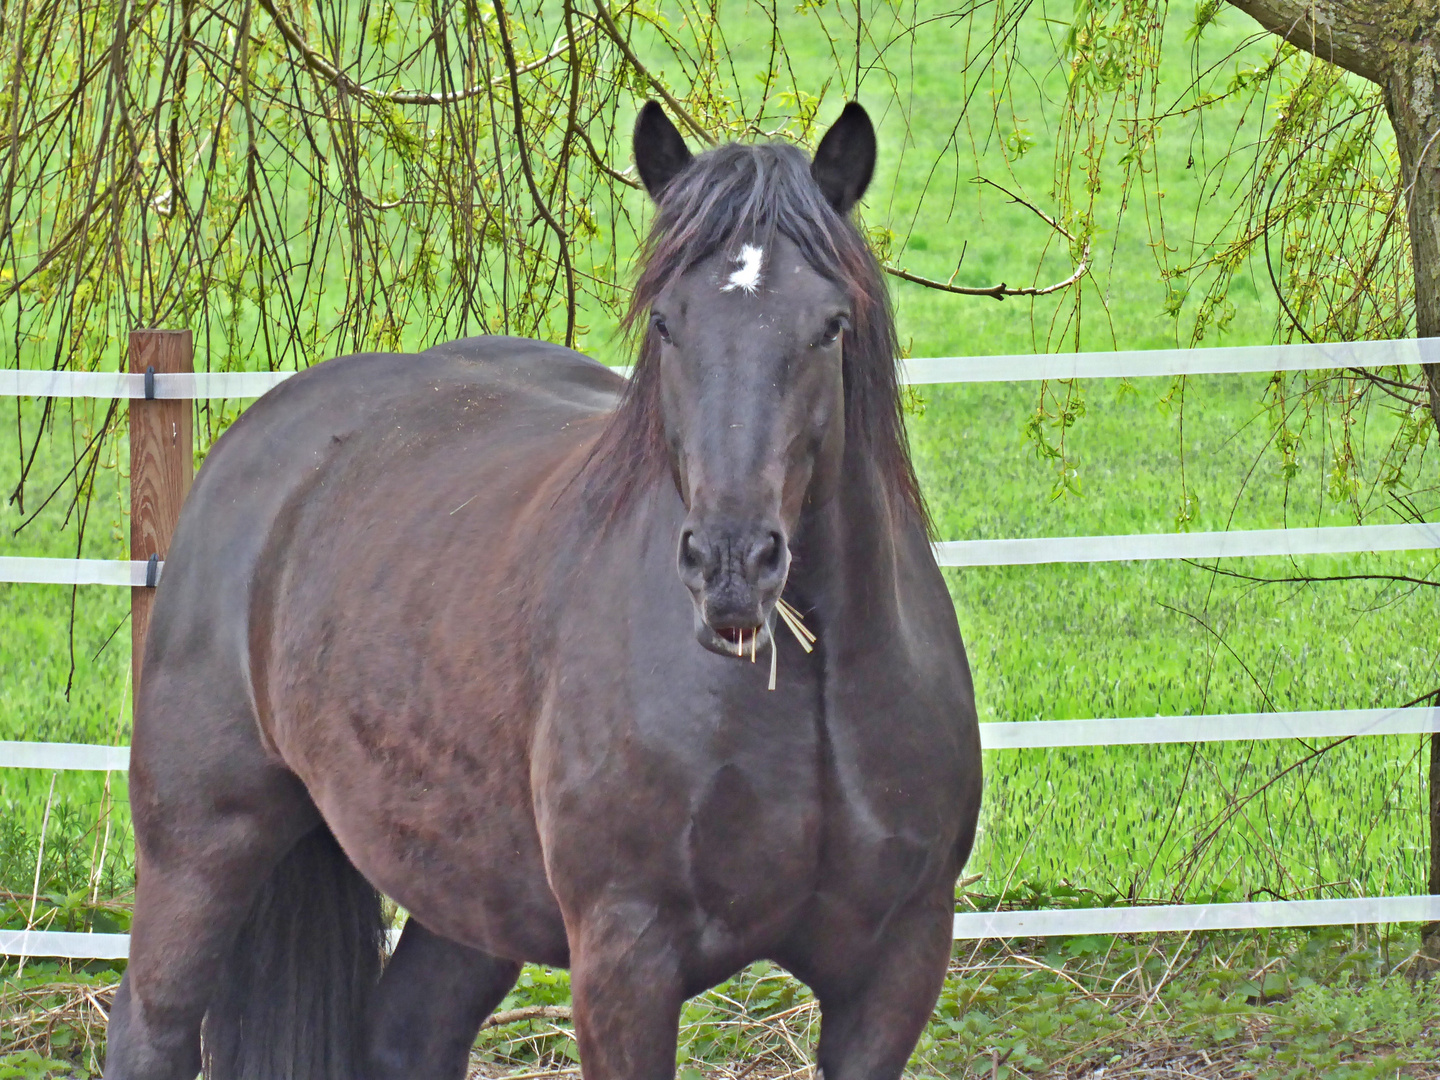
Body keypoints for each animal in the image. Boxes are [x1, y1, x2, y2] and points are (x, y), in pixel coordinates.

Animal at [101, 101, 979, 1080]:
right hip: (204, 845)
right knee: (151, 1025)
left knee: (408, 1032)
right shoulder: (626, 958)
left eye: (830, 323)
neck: (806, 694)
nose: (730, 563)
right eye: (667, 323)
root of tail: (262, 438)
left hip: (467, 885)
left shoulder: (894, 970)